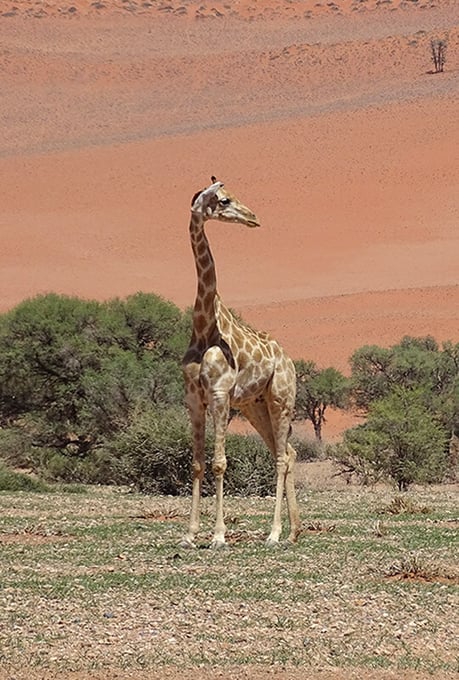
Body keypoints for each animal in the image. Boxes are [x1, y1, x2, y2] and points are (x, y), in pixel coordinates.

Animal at [181, 177, 300, 549]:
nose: (253, 216)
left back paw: (274, 533)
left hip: (281, 399)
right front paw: (189, 535)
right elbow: (196, 463)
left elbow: (219, 463)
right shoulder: (194, 399)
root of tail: (289, 361)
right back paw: (294, 530)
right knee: (287, 452)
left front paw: (219, 536)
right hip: (254, 405)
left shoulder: (219, 395)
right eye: (223, 200)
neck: (205, 326)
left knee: (281, 457)